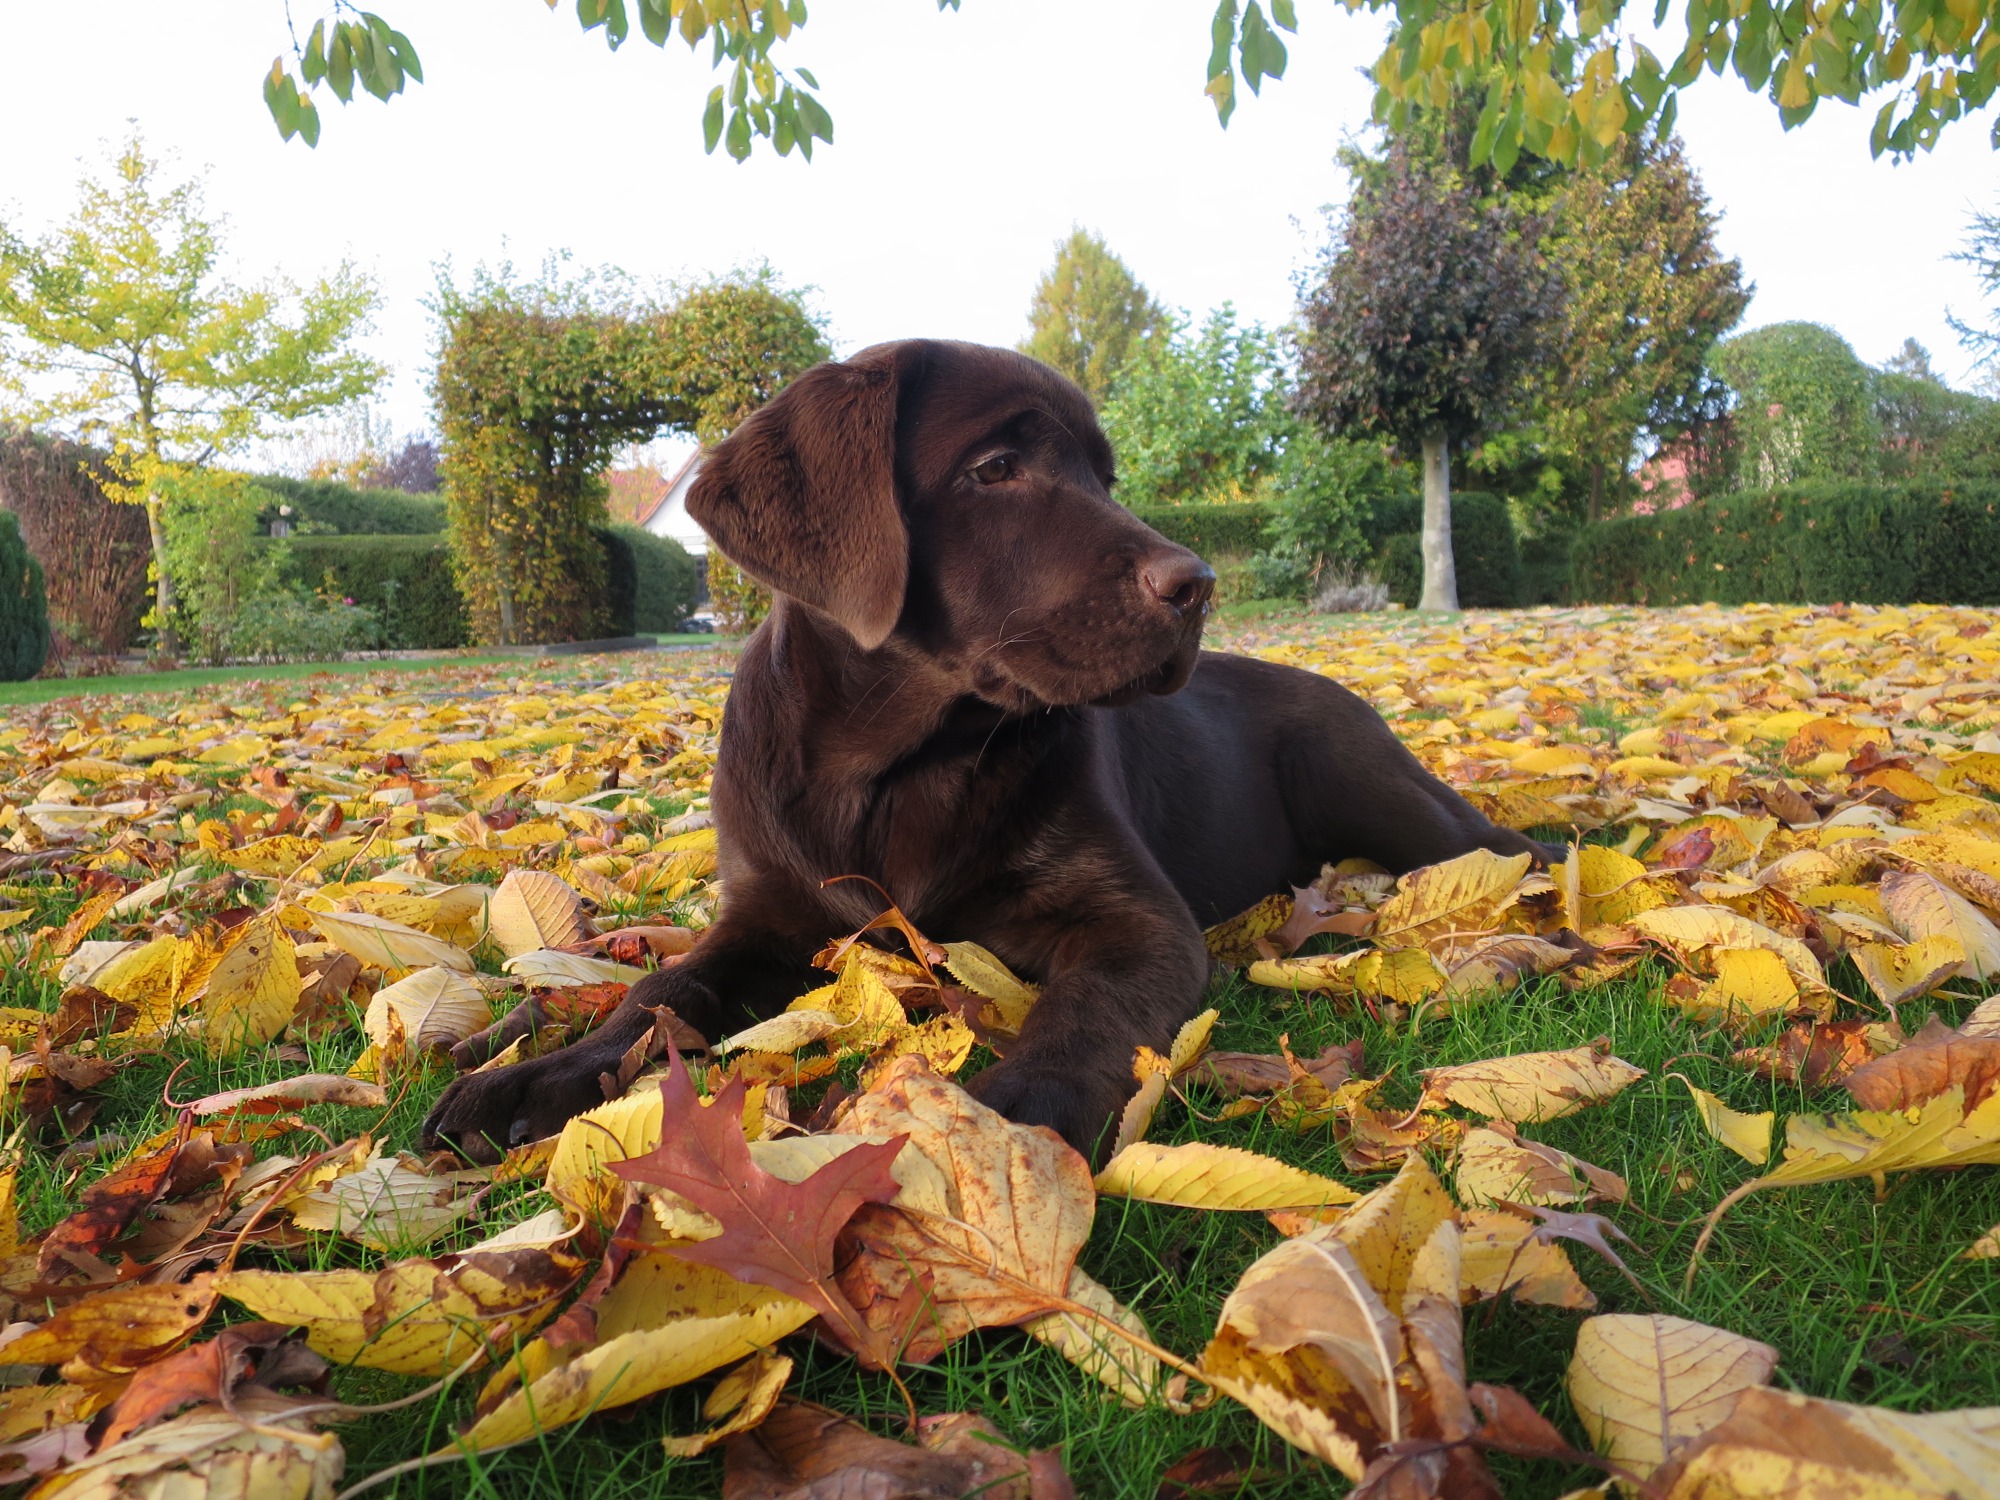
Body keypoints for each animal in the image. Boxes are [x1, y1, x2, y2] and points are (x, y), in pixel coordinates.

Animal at [422, 340, 1548, 1161]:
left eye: (1104, 475)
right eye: (996, 468)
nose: (1198, 584)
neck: (890, 767)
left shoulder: (1137, 922)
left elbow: (1088, 1010)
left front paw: (1009, 1116)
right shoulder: (765, 913)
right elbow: (662, 992)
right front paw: (537, 1075)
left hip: (1380, 792)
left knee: (1509, 849)